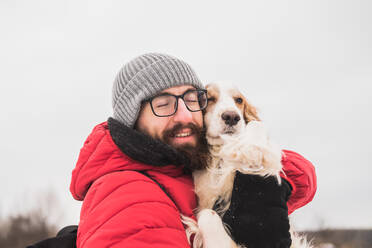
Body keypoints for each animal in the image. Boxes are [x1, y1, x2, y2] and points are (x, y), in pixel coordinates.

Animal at [181, 83, 310, 248]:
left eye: (239, 100)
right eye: (208, 98)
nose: (231, 116)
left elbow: (256, 124)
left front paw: (252, 148)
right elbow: (207, 214)